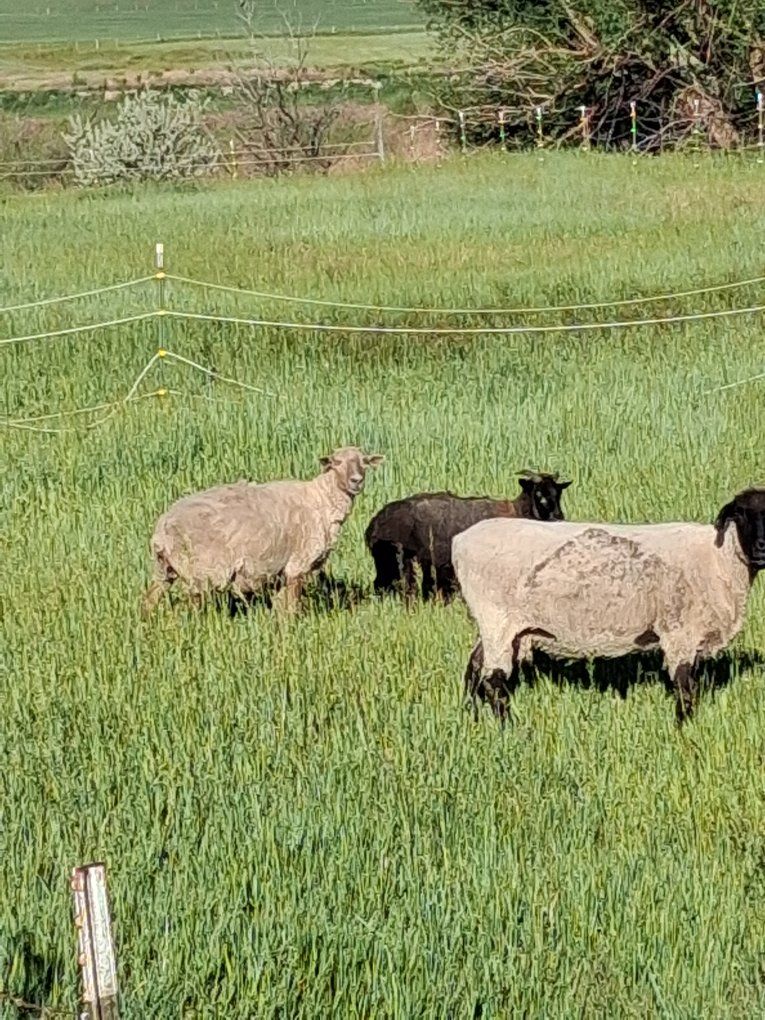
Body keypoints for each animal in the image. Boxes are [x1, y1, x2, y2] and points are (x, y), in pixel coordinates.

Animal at [142, 446, 384, 613]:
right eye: (336, 462)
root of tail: (161, 530)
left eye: (364, 461)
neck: (321, 500)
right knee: (187, 608)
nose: (356, 480)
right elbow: (291, 610)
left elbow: (282, 610)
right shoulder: (297, 565)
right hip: (203, 571)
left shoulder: (281, 573)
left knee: (149, 599)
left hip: (165, 568)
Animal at [364, 472, 571, 601]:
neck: (519, 511)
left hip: (385, 560)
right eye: (538, 493)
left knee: (382, 584)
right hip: (398, 557)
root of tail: (374, 524)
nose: (559, 516)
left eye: (558, 493)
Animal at [452, 486, 765, 724]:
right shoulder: (679, 633)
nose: (762, 548)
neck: (717, 559)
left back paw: (471, 717)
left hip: (499, 626)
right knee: (492, 678)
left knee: (474, 667)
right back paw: (510, 727)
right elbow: (685, 686)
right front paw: (683, 729)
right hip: (496, 618)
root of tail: (460, 541)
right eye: (741, 513)